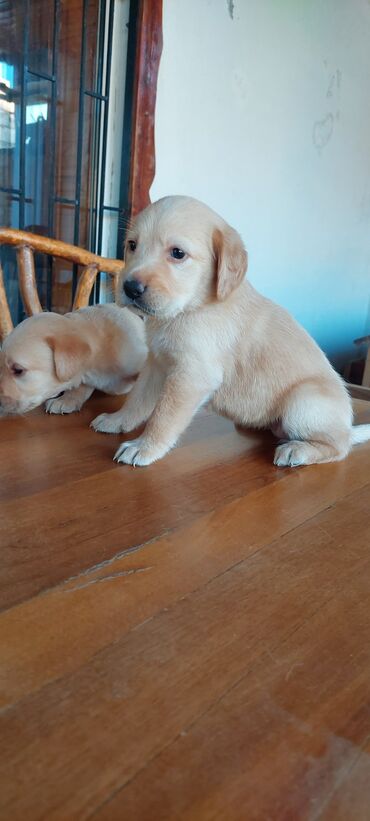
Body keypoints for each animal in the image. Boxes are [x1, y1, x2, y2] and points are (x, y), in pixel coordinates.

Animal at [90, 194, 370, 468]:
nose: (130, 288)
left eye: (178, 253)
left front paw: (144, 447)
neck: (189, 309)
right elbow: (137, 399)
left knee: (338, 446)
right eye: (132, 245)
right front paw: (117, 420)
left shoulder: (192, 376)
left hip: (304, 401)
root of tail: (348, 427)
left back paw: (297, 450)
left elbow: (163, 416)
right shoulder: (156, 364)